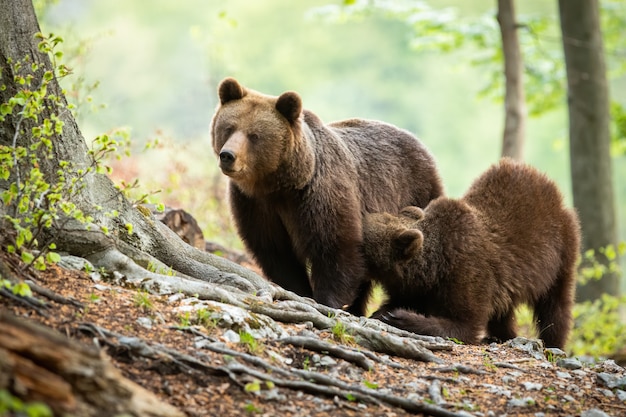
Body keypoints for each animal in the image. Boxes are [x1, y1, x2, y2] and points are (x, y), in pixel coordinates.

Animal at [212, 77, 442, 312]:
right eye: (229, 128)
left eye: (254, 135)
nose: (227, 155)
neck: (278, 185)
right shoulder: (254, 204)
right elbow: (276, 252)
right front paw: (298, 291)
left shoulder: (319, 194)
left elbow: (335, 247)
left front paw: (328, 300)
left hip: (416, 193)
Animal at [364, 158, 576, 346]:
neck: (433, 269)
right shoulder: (413, 287)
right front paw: (382, 312)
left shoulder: (467, 270)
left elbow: (465, 323)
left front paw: (400, 316)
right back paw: (502, 335)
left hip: (560, 251)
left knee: (556, 305)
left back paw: (553, 342)